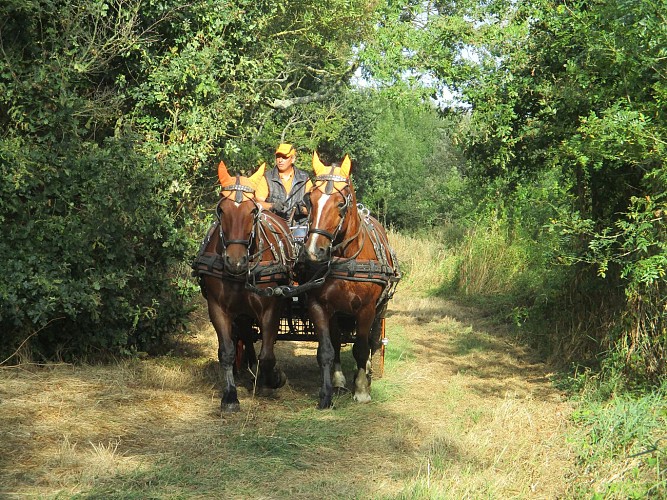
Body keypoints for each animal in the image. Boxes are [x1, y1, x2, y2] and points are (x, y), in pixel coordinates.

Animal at [193, 162, 298, 412]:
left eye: (252, 211)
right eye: (221, 210)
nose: (235, 261)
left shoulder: (271, 308)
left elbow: (268, 355)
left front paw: (273, 378)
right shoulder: (217, 307)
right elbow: (227, 351)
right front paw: (230, 396)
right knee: (245, 333)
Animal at [298, 153, 402, 410]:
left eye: (340, 202)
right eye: (310, 199)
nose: (314, 251)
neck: (346, 259)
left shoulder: (366, 309)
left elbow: (361, 348)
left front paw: (362, 388)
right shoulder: (319, 307)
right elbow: (327, 349)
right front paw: (329, 391)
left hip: (380, 308)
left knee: (373, 341)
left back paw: (370, 371)